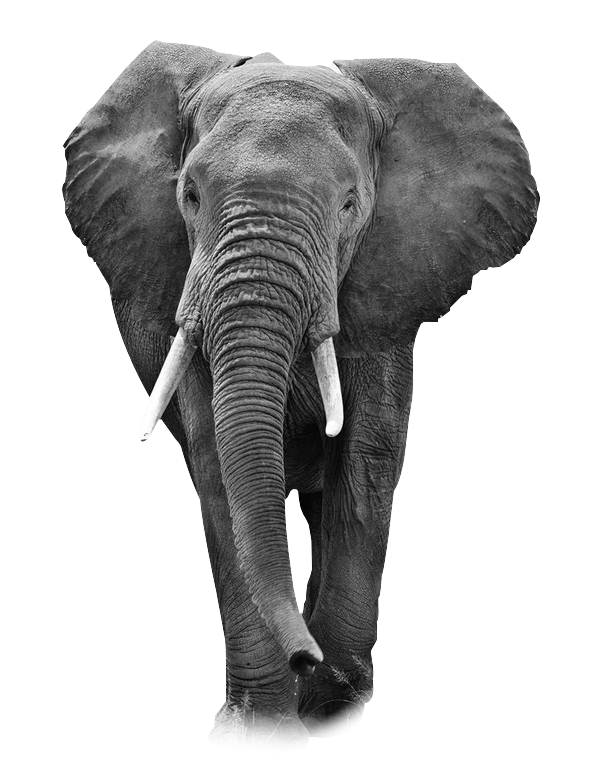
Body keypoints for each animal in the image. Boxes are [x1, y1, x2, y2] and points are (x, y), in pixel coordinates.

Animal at [63, 42, 538, 752]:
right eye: (190, 195)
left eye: (350, 205)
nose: (303, 658)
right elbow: (217, 467)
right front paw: (257, 735)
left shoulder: (382, 290)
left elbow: (367, 458)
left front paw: (331, 709)